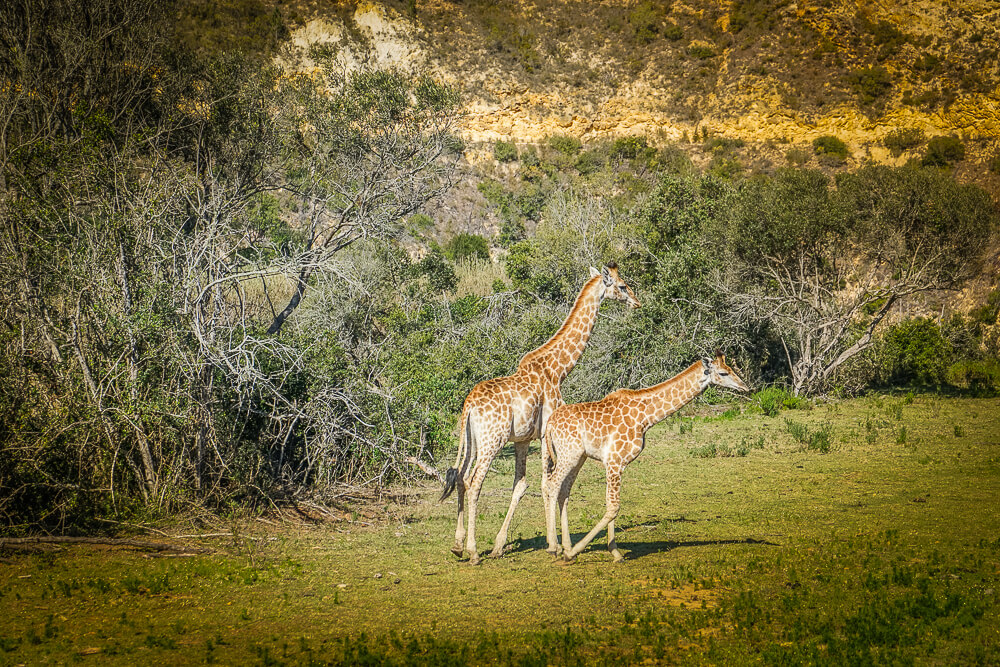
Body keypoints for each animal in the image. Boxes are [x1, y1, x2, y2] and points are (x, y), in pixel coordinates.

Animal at [442, 264, 644, 568]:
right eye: (622, 286)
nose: (637, 302)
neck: (558, 369)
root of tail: (469, 405)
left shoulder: (523, 439)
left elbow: (522, 485)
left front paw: (500, 546)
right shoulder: (547, 429)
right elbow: (548, 484)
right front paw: (556, 545)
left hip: (472, 442)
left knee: (460, 477)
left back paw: (457, 546)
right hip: (492, 442)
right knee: (473, 481)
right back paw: (474, 552)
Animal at [544, 354, 748, 564]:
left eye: (731, 369)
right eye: (723, 373)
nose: (745, 387)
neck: (646, 417)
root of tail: (550, 424)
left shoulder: (615, 463)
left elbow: (610, 506)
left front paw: (614, 552)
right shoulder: (615, 460)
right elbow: (613, 507)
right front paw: (581, 552)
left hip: (578, 457)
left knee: (563, 490)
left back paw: (565, 545)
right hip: (569, 454)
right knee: (552, 484)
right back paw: (556, 548)